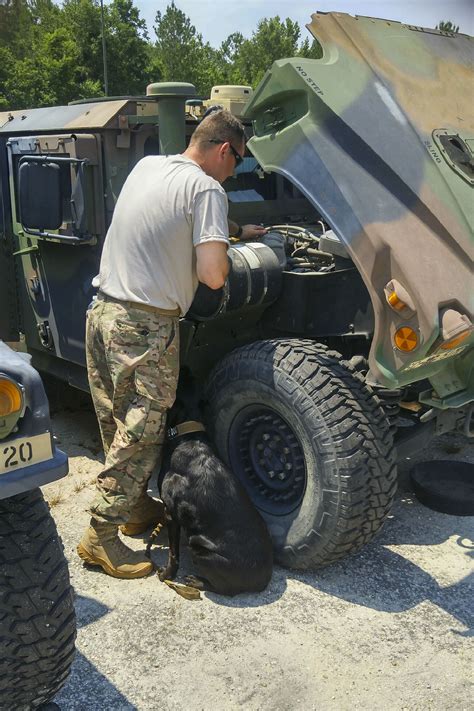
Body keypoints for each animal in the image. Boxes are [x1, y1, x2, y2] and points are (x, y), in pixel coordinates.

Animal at [151, 390, 270, 596]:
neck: (188, 435)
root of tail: (262, 581)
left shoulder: (171, 513)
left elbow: (173, 554)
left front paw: (166, 574)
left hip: (200, 549)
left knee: (226, 589)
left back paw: (197, 581)